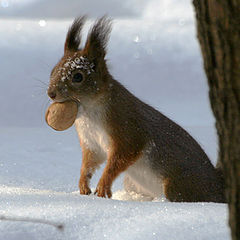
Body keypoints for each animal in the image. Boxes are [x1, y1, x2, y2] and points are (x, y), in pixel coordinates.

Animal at [47, 15, 226, 202]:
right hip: (133, 183)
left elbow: (121, 157)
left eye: (78, 77)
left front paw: (103, 185)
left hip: (177, 185)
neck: (88, 112)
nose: (51, 93)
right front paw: (83, 184)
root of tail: (218, 186)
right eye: (52, 71)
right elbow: (90, 162)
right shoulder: (91, 143)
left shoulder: (127, 129)